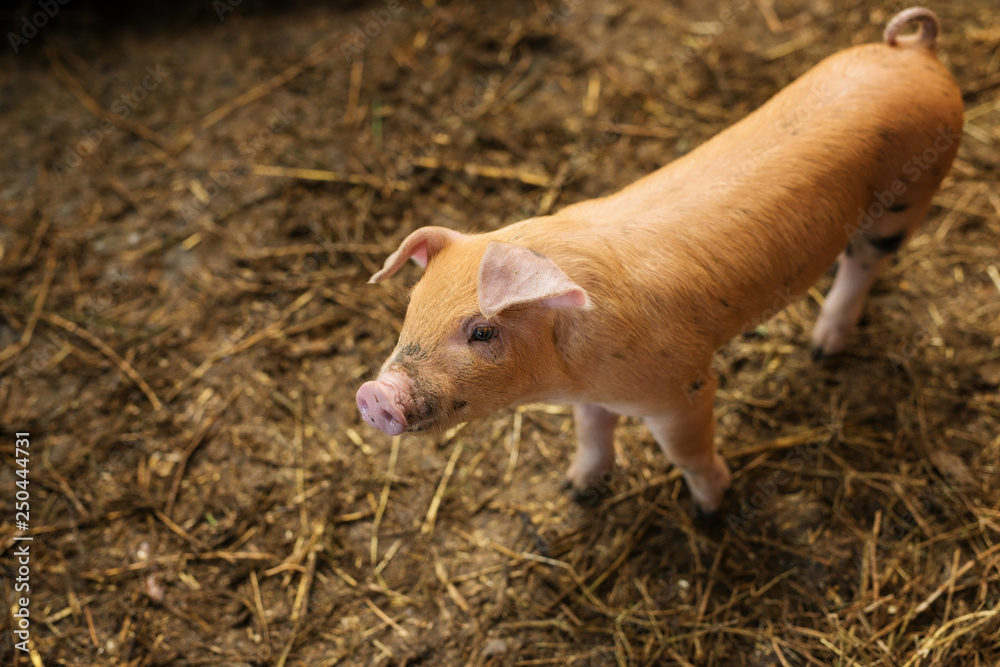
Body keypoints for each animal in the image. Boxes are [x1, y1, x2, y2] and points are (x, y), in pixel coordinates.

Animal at [356, 7, 963, 514]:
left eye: (482, 332)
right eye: (411, 309)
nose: (374, 395)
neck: (571, 365)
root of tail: (915, 50)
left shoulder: (683, 388)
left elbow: (686, 452)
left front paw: (713, 507)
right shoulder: (592, 395)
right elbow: (591, 434)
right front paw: (576, 490)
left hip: (910, 194)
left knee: (865, 264)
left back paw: (822, 348)